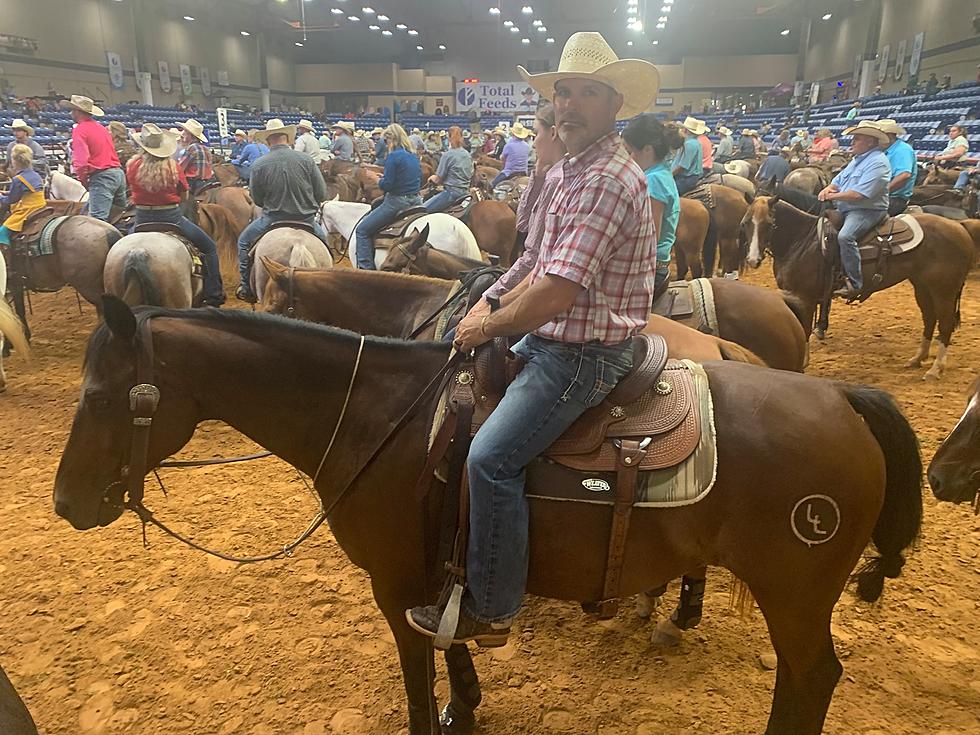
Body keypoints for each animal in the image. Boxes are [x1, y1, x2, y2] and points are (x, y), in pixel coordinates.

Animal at [55, 300, 928, 735]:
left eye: (98, 395)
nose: (65, 501)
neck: (382, 418)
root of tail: (843, 396)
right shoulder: (441, 568)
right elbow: (452, 643)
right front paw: (467, 702)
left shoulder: (394, 584)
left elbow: (417, 675)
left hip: (797, 595)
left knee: (812, 677)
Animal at [744, 196, 972, 380]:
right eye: (746, 222)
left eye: (769, 223)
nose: (753, 259)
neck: (802, 241)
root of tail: (960, 227)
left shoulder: (805, 299)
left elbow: (805, 330)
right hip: (922, 286)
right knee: (929, 318)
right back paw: (917, 359)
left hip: (944, 290)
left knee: (945, 323)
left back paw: (935, 369)